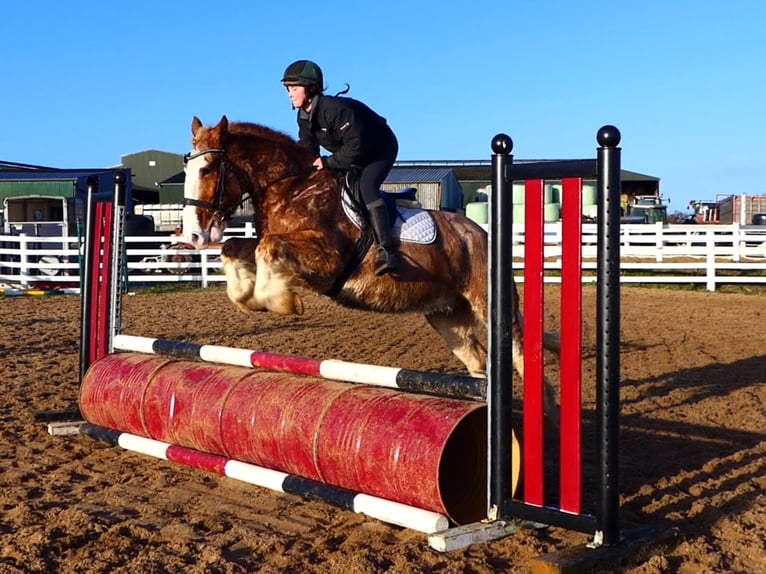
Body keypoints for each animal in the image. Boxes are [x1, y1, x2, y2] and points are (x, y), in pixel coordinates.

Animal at [181, 115, 559, 399]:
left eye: (207, 169)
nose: (193, 236)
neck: (291, 187)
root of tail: (481, 234)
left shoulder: (327, 260)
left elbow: (267, 247)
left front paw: (282, 302)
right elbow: (237, 247)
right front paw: (248, 297)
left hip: (490, 305)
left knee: (522, 356)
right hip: (447, 315)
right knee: (477, 360)